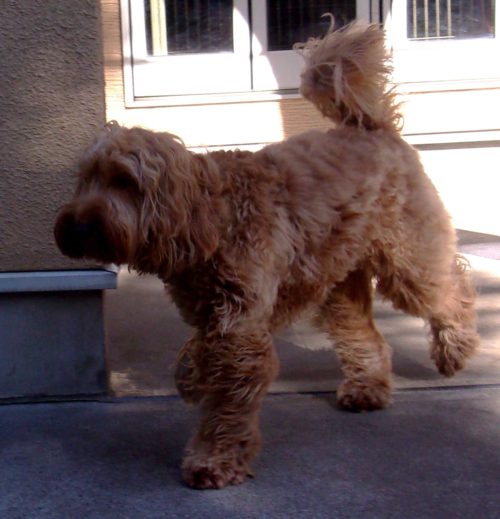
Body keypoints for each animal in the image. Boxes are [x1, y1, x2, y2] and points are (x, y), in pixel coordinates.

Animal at [54, 21, 479, 489]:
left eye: (124, 181)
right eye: (86, 178)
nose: (75, 228)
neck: (212, 217)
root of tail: (374, 127)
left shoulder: (240, 331)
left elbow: (227, 403)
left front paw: (214, 460)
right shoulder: (218, 316)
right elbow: (202, 355)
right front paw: (192, 375)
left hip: (406, 259)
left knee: (452, 288)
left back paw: (454, 350)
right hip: (339, 280)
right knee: (364, 334)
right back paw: (368, 386)